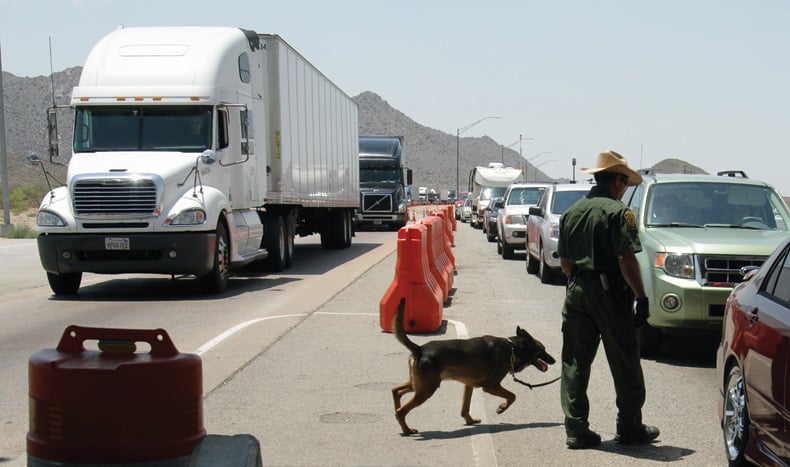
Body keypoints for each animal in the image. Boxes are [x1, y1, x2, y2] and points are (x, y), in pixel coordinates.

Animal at [392, 300, 556, 436]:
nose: (554, 360)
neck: (512, 349)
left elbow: (465, 407)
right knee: (401, 411)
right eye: (543, 350)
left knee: (396, 391)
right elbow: (512, 396)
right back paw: (407, 430)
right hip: (426, 389)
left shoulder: (469, 385)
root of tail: (419, 349)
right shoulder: (491, 386)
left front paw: (469, 420)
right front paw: (502, 407)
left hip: (419, 385)